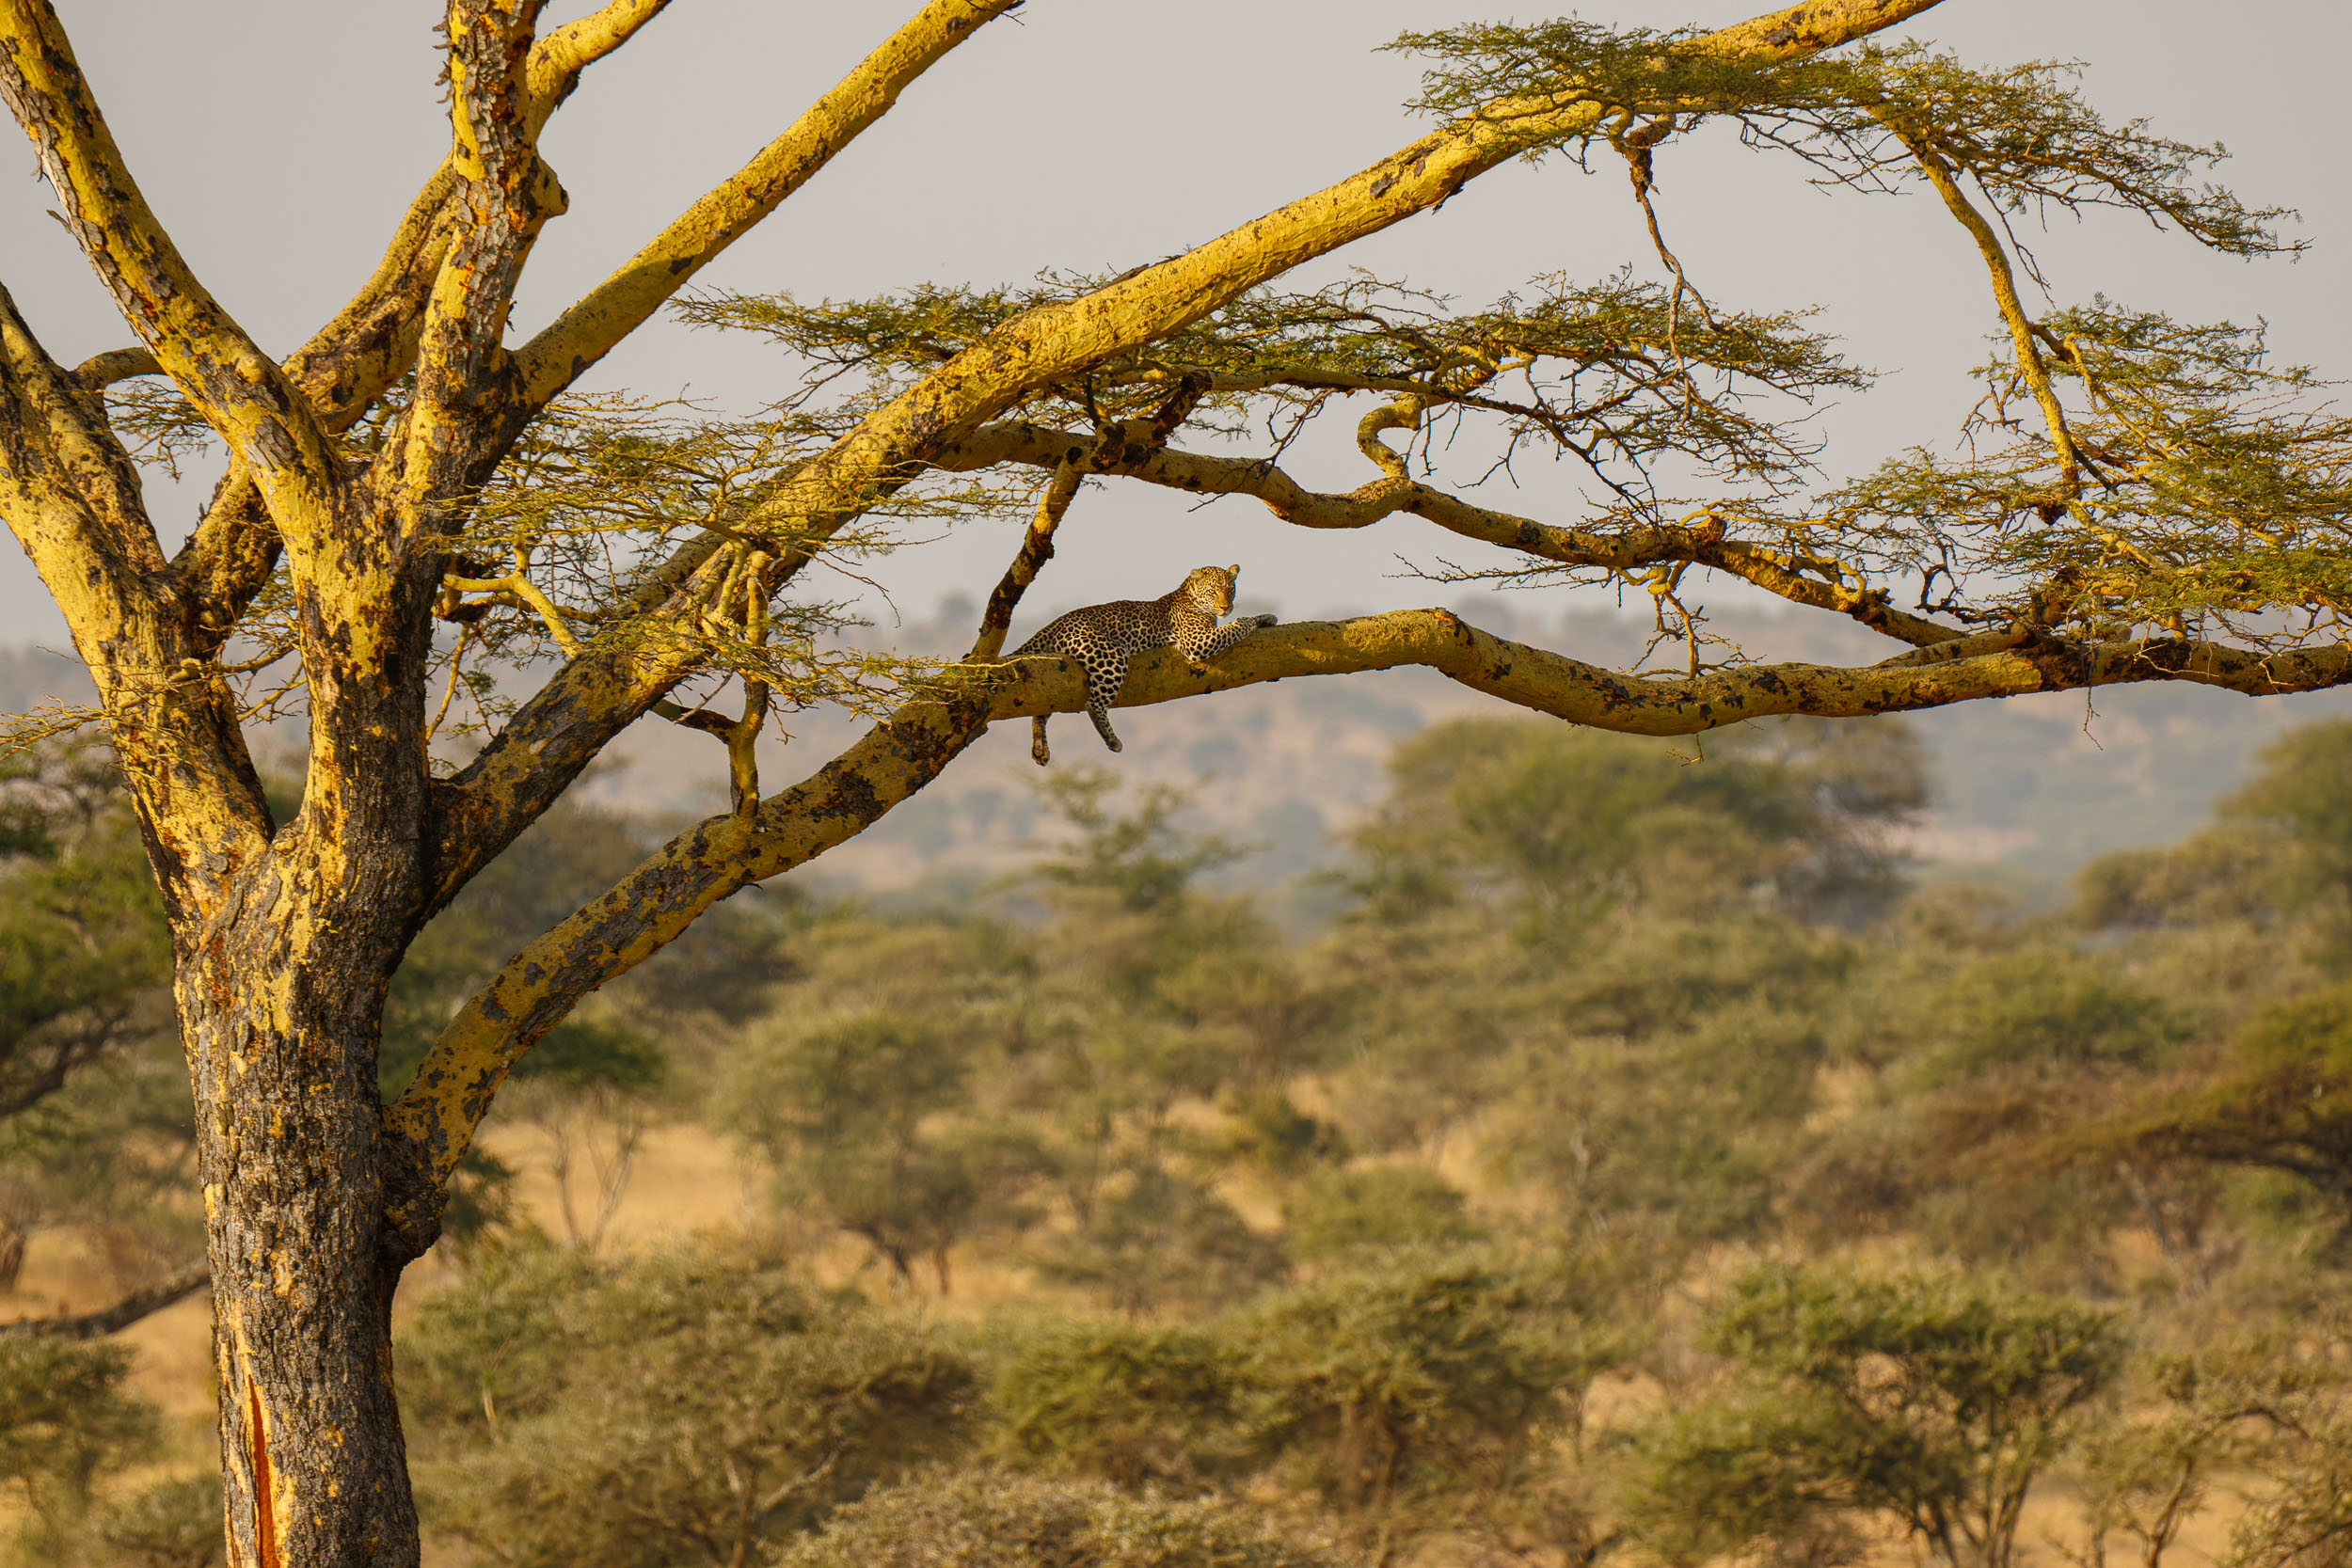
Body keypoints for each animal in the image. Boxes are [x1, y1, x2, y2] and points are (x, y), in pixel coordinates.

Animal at [1012, 564, 1278, 766]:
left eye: (1230, 589)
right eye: (1213, 591)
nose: (1226, 607)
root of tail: (1054, 624)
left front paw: (1267, 617)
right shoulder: (1198, 642)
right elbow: (1235, 627)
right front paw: (1249, 619)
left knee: (1044, 706)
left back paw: (1040, 749)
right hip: (1111, 655)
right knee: (1093, 704)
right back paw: (1112, 740)